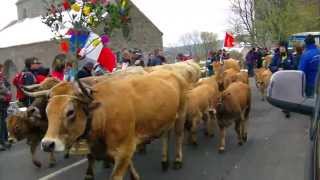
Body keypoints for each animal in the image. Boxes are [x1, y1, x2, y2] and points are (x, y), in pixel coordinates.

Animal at [41, 69, 189, 180]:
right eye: (47, 111)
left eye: (70, 112)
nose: (47, 144)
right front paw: (135, 176)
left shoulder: (124, 149)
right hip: (166, 119)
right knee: (165, 135)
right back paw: (164, 161)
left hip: (181, 113)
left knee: (179, 136)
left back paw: (177, 160)